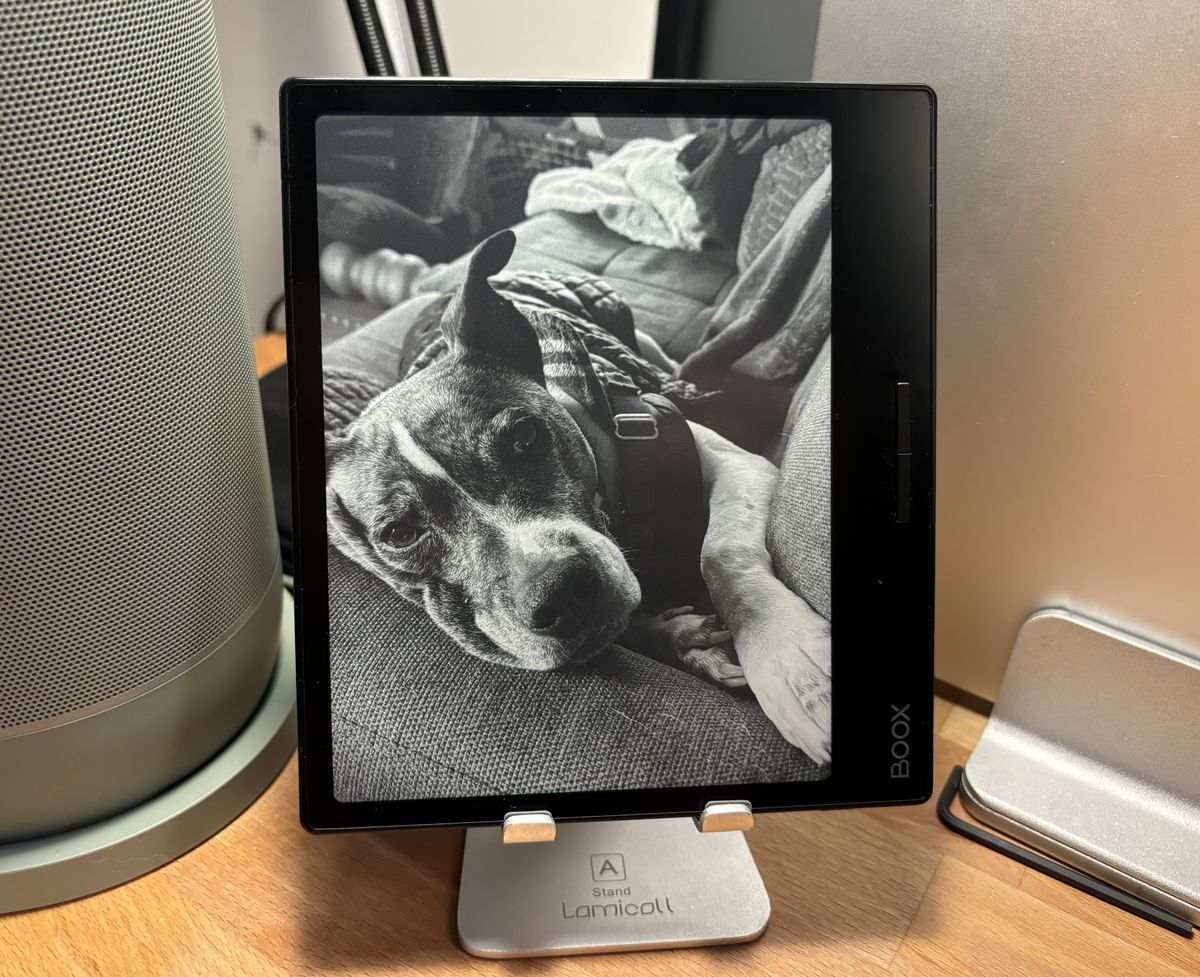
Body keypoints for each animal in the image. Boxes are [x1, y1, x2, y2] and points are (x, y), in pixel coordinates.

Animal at [328, 231, 835, 763]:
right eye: (400, 533)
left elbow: (720, 552)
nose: (563, 595)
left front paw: (792, 662)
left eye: (525, 437)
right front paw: (683, 640)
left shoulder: (737, 462)